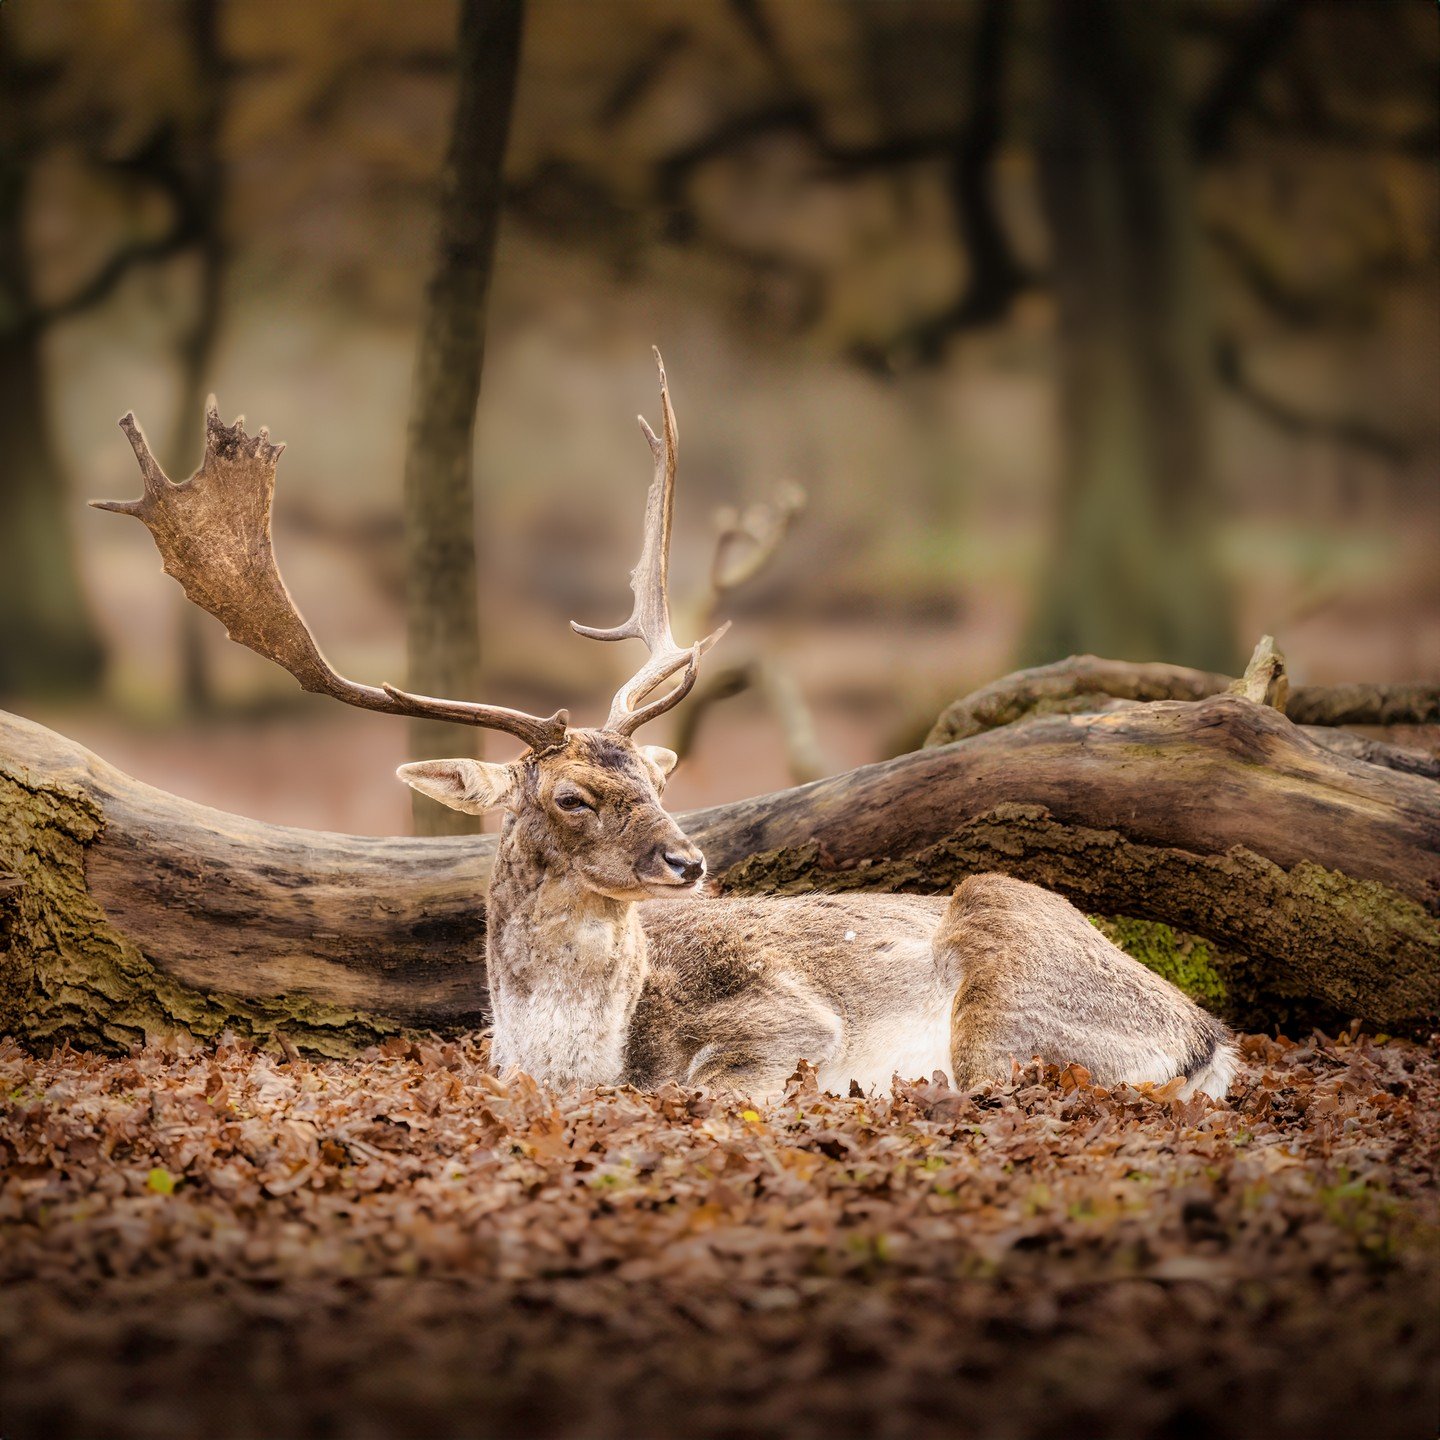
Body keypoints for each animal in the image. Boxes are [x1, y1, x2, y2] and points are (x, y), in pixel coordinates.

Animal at [95, 351, 1237, 1101]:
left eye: (656, 776)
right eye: (571, 793)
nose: (688, 862)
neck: (573, 1059)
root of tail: (1204, 1033)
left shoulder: (787, 1023)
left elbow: (703, 1087)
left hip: (1003, 987)